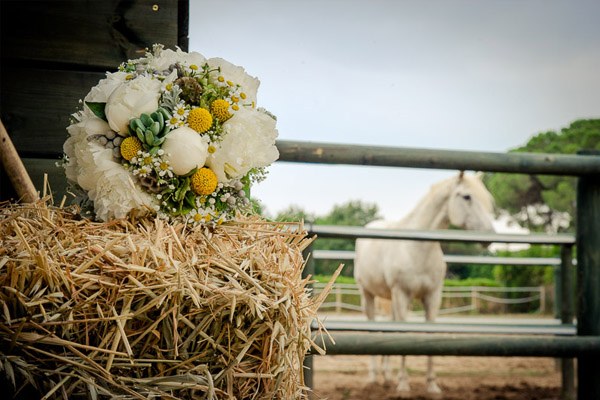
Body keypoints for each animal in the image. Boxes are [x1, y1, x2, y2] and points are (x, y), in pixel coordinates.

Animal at [354, 172, 494, 394]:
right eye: (467, 197)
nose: (489, 235)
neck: (417, 247)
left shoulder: (432, 296)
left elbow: (429, 335)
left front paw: (432, 385)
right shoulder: (402, 295)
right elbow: (402, 335)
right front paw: (403, 385)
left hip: (389, 299)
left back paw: (387, 376)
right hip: (368, 294)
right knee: (372, 326)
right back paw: (374, 377)